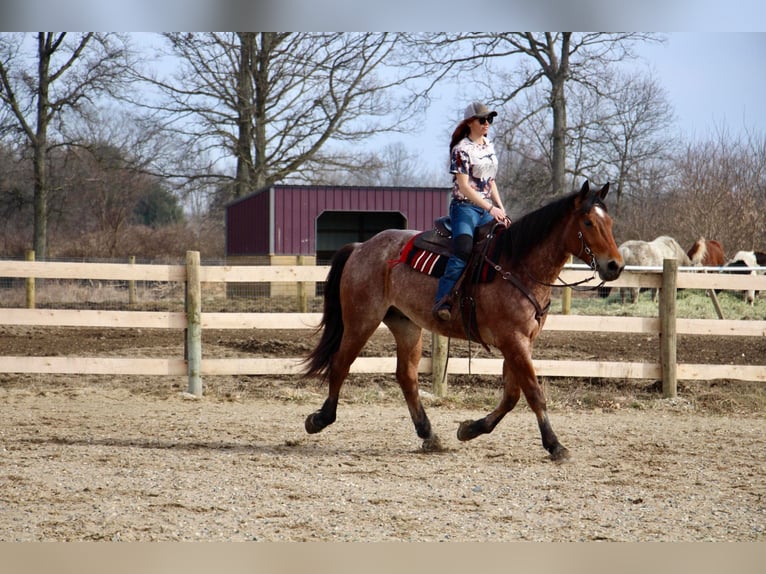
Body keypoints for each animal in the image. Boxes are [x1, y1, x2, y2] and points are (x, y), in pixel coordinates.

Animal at [300, 182, 624, 462]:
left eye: (610, 222)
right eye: (588, 223)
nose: (615, 266)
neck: (517, 265)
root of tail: (361, 247)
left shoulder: (521, 343)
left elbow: (512, 395)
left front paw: (470, 429)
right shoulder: (513, 341)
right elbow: (533, 393)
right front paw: (555, 444)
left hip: (406, 324)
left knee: (406, 376)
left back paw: (429, 434)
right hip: (361, 319)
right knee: (341, 363)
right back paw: (319, 419)